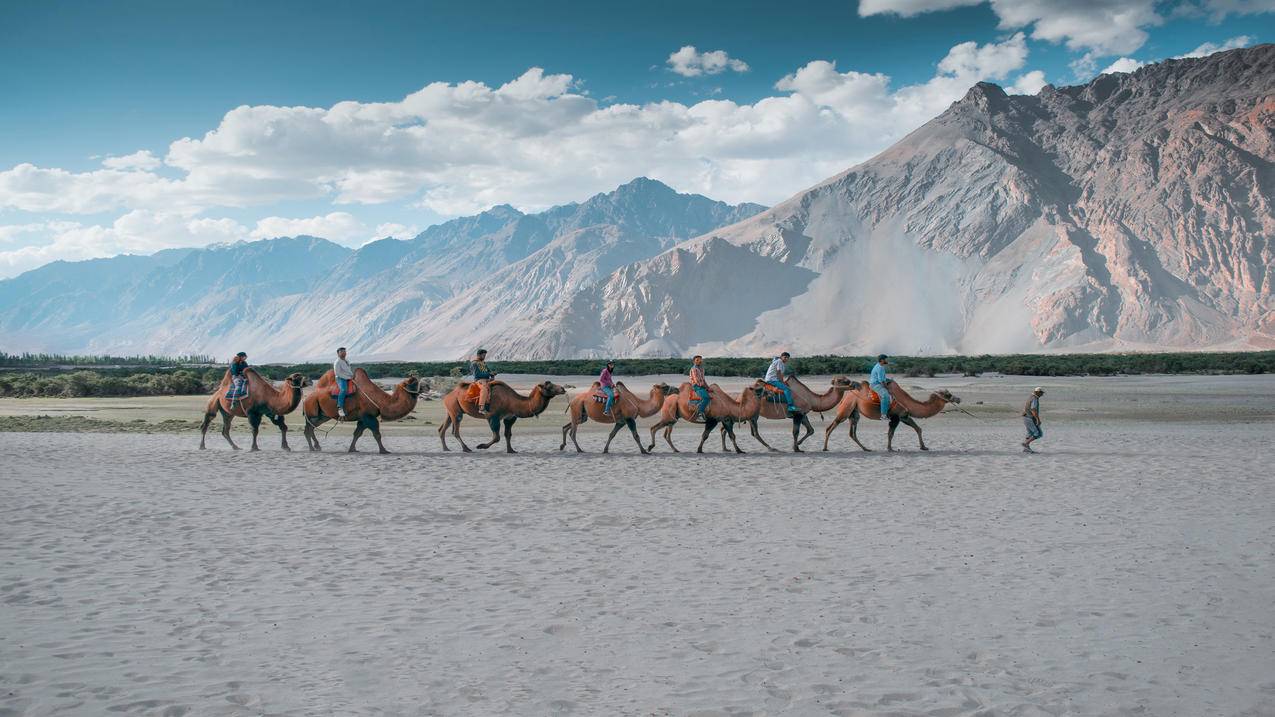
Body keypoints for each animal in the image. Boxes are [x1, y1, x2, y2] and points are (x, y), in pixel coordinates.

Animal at [821, 377, 958, 449]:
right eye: (948, 394)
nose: (958, 399)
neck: (907, 401)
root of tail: (847, 395)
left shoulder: (904, 416)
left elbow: (918, 429)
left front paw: (924, 447)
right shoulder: (897, 417)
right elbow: (891, 433)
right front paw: (890, 448)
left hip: (854, 412)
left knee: (852, 432)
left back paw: (866, 449)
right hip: (846, 408)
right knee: (831, 426)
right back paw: (825, 448)